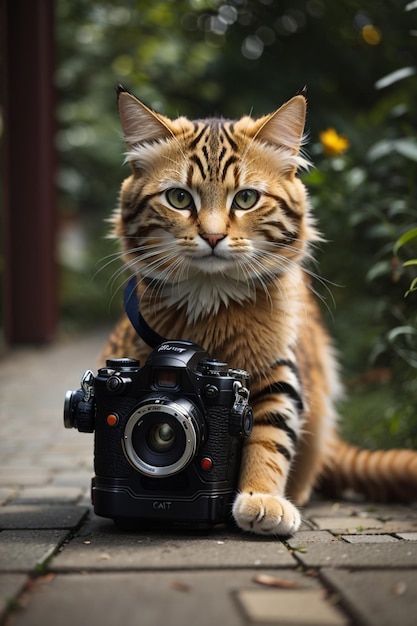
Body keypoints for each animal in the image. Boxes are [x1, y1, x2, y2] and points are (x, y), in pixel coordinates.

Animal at [101, 85, 416, 532]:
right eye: (179, 198)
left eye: (246, 198)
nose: (213, 236)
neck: (210, 303)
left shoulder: (279, 374)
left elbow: (269, 438)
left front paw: (260, 498)